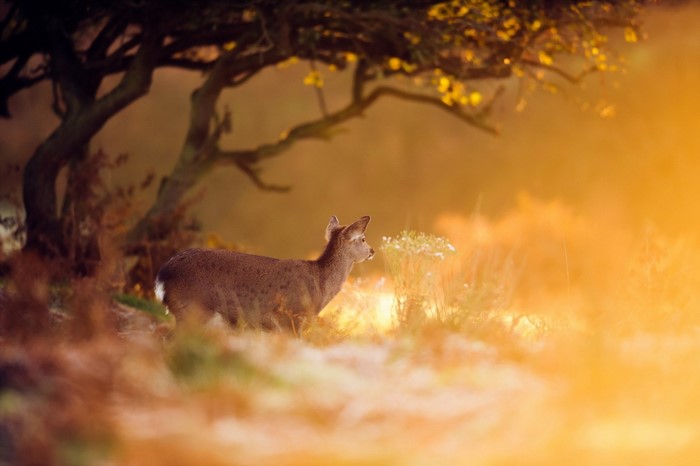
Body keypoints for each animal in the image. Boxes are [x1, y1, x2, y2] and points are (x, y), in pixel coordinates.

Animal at [154, 215, 374, 332]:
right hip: (192, 308)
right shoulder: (291, 316)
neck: (321, 286)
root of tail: (162, 275)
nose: (372, 251)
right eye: (363, 239)